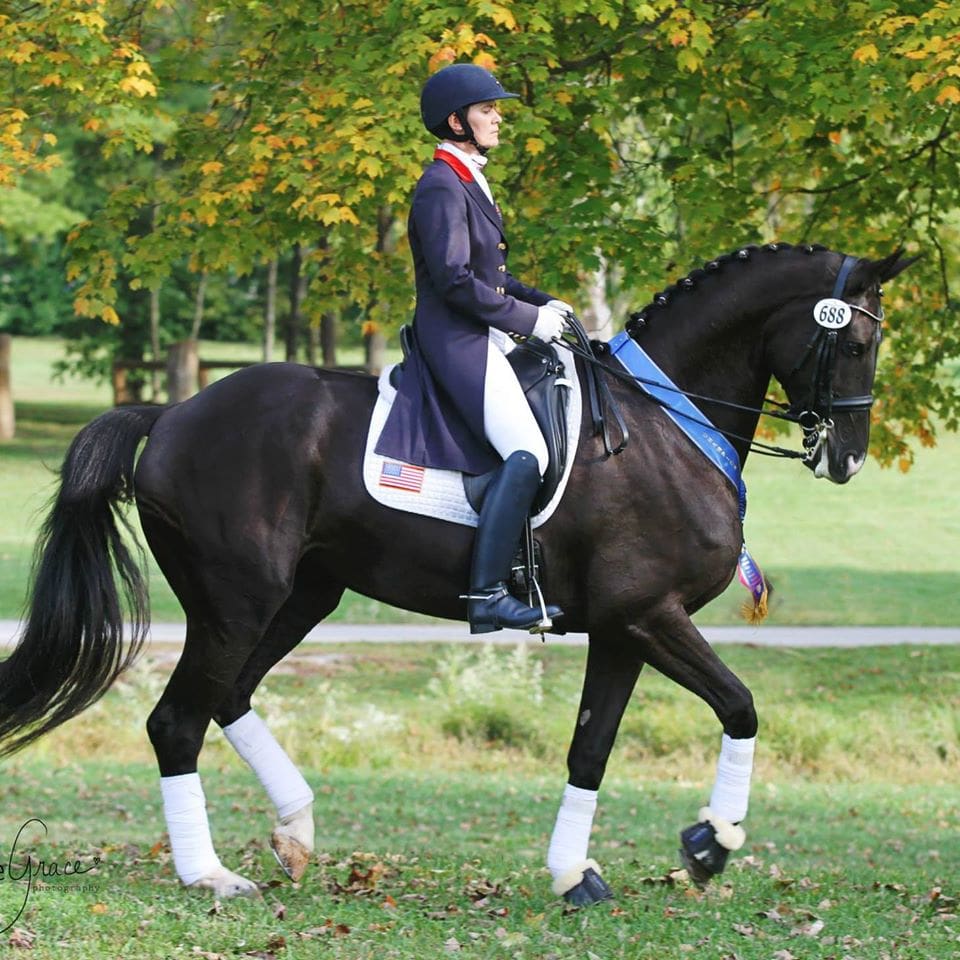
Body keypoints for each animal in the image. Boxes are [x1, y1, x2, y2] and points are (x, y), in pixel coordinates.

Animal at [0, 242, 914, 905]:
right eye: (857, 341)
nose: (846, 458)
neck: (665, 420)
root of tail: (173, 415)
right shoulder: (651, 614)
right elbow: (741, 706)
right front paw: (709, 844)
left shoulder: (622, 629)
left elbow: (591, 749)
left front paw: (574, 875)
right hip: (238, 601)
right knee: (176, 722)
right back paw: (212, 875)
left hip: (302, 595)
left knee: (228, 698)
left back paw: (296, 834)